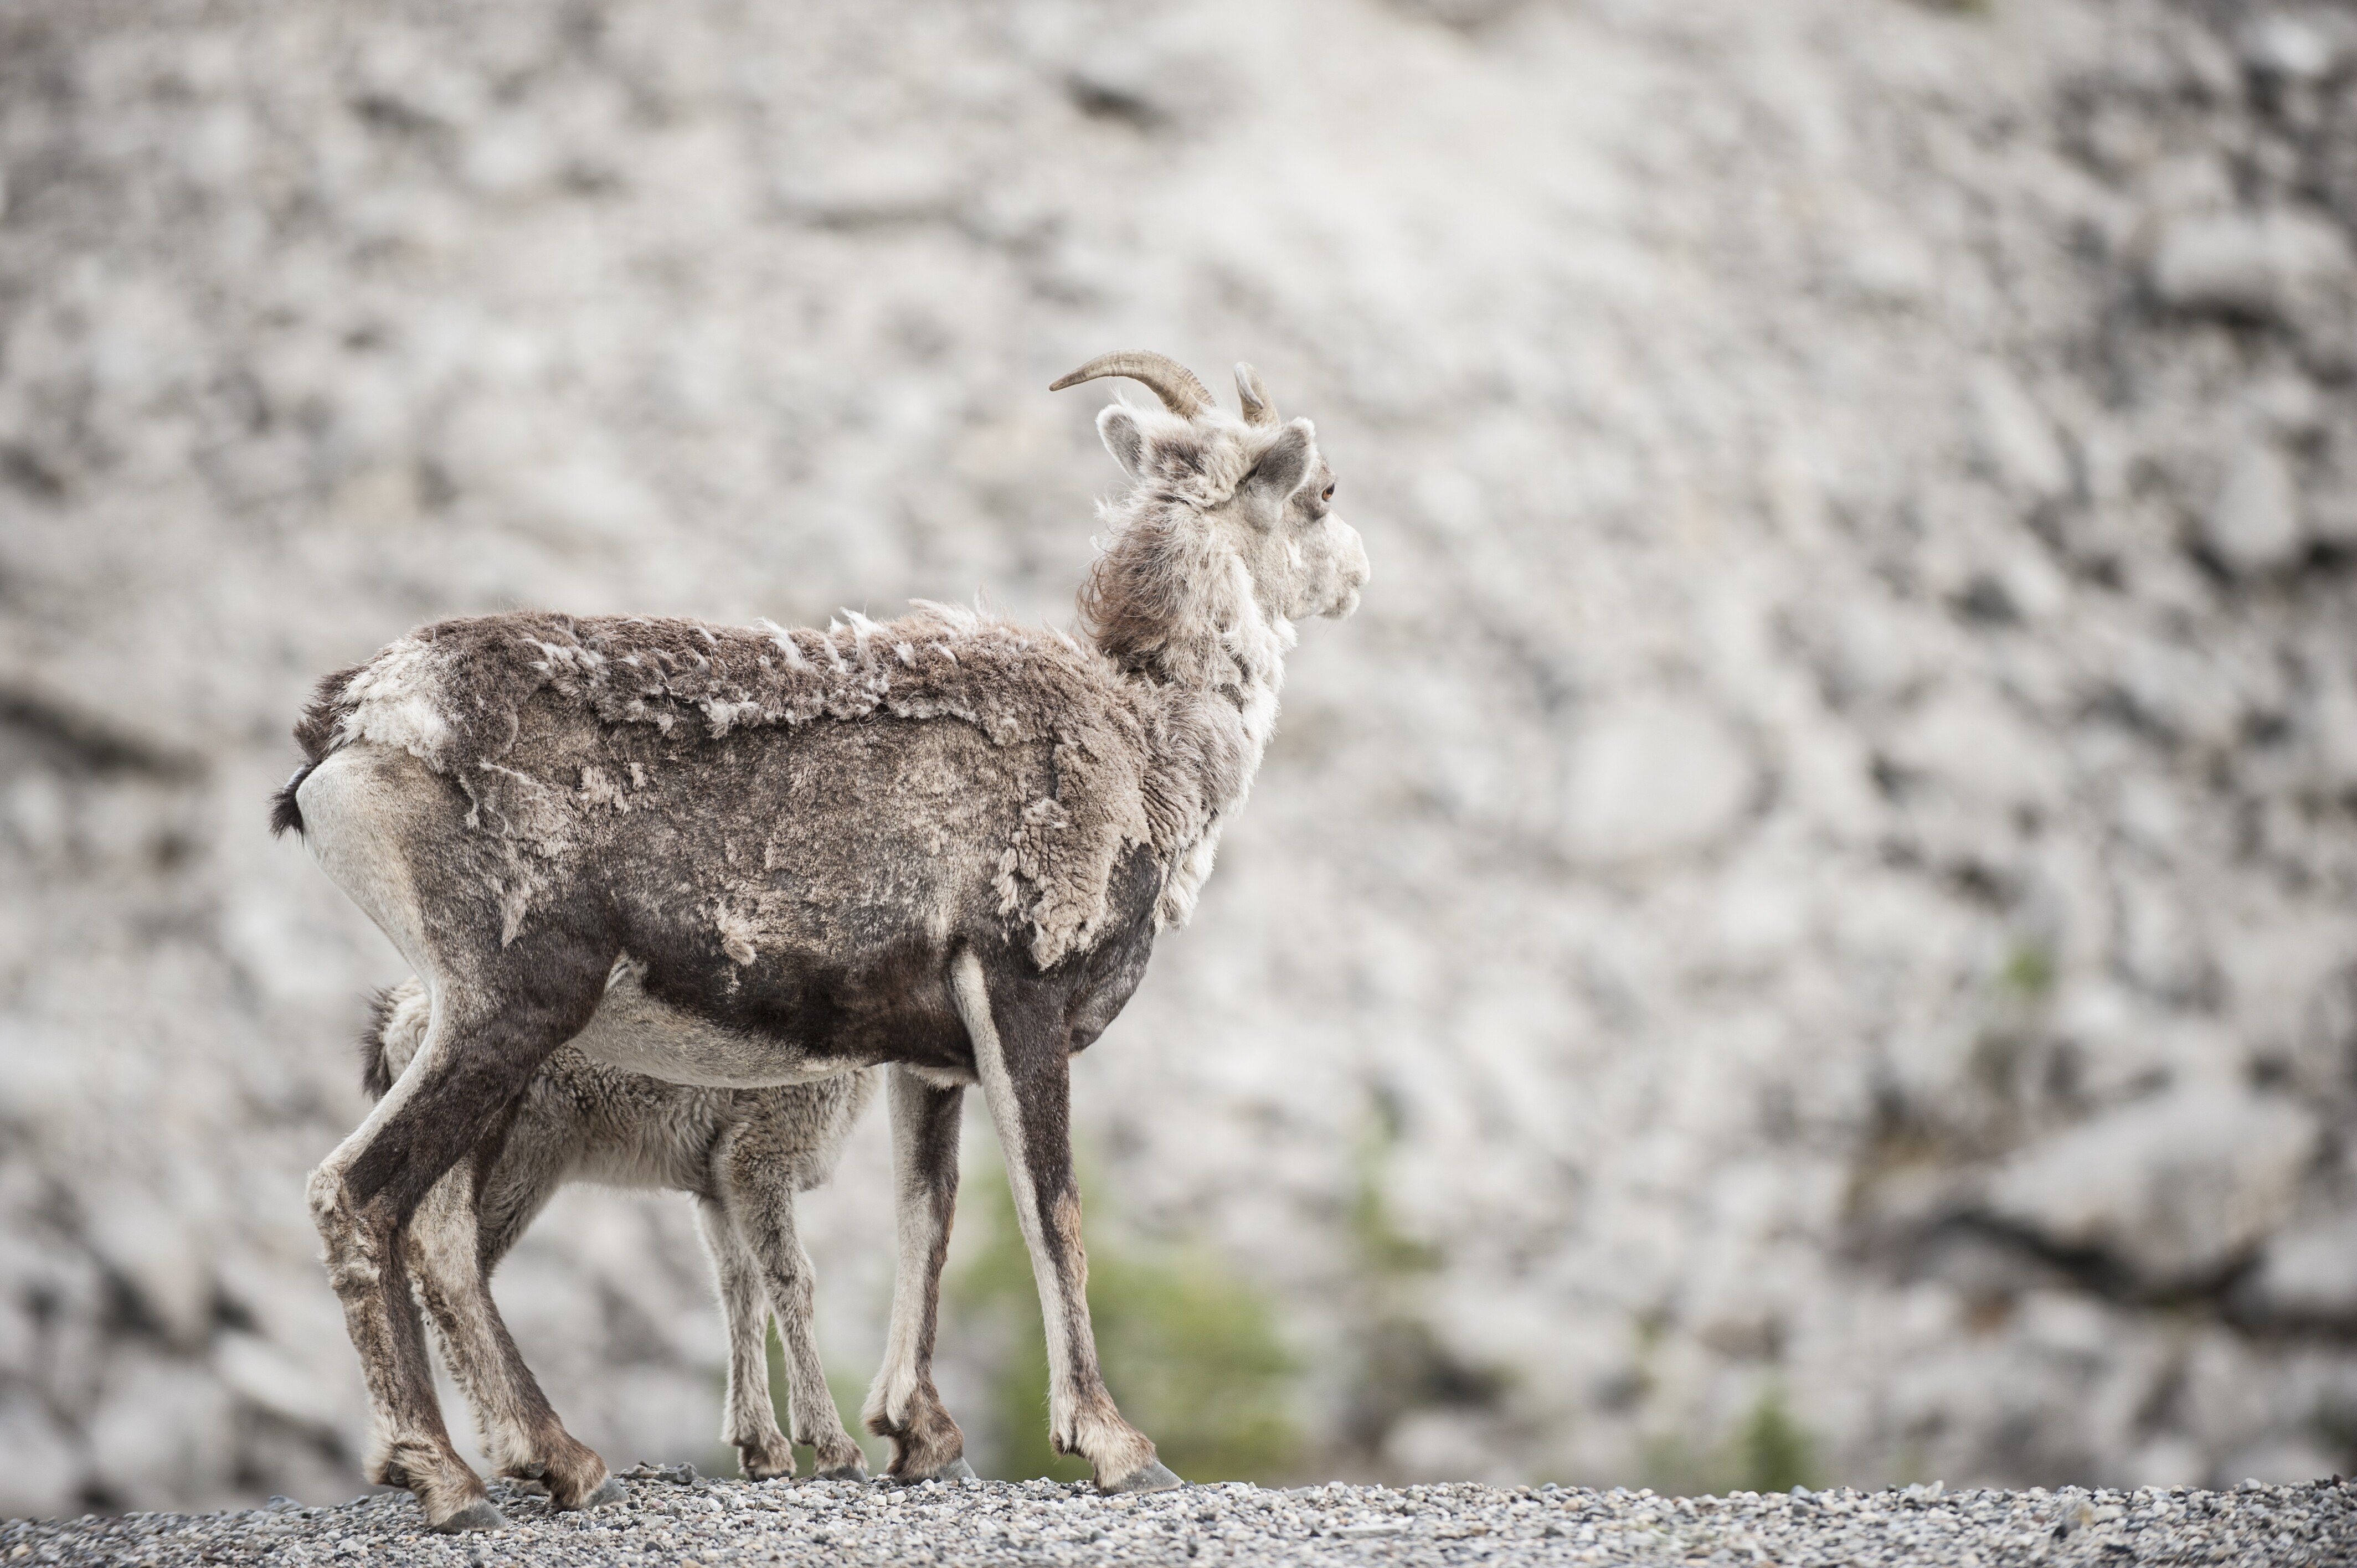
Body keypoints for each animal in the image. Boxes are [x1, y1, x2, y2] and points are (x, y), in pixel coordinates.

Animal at [363, 967, 886, 1490]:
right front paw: (834, 1447)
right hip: (511, 1162)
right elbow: (792, 1280)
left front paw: (762, 1447)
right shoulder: (758, 1156)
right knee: (446, 1265)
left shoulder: (716, 1189)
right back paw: (521, 1452)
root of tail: (397, 1020)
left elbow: (741, 1291)